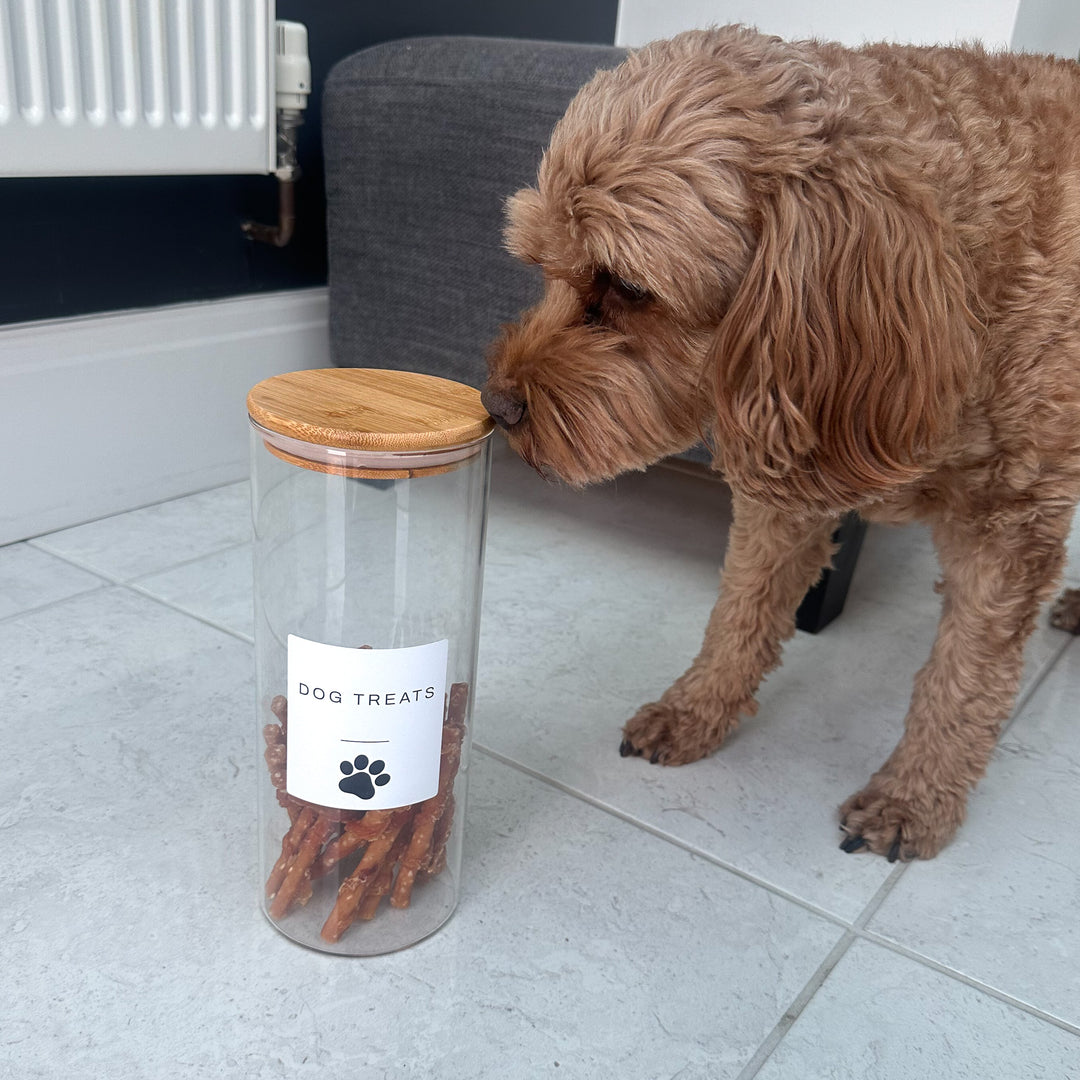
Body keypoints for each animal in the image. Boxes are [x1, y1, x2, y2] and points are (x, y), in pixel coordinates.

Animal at [481, 27, 1080, 859]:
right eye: (545, 269)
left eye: (629, 288)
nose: (497, 405)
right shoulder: (789, 479)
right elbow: (741, 611)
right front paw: (696, 708)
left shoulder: (1008, 525)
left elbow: (964, 678)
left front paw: (915, 796)